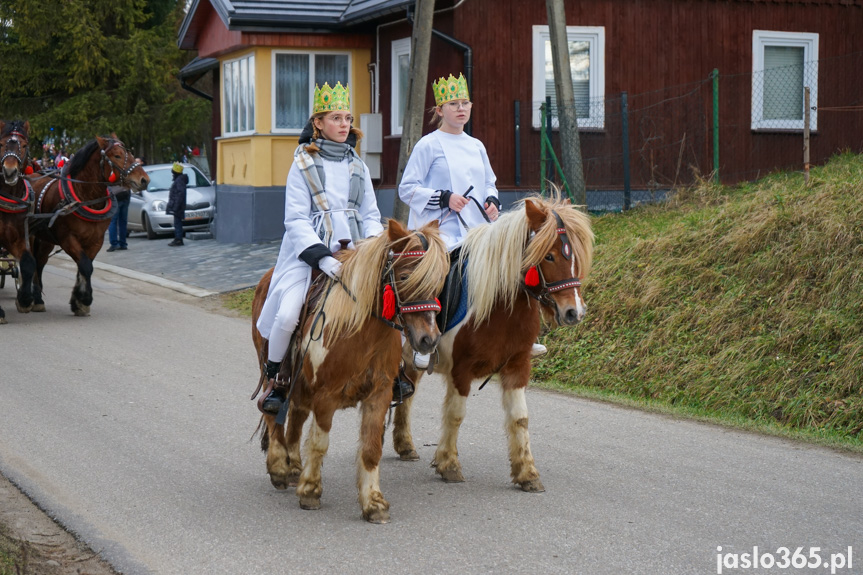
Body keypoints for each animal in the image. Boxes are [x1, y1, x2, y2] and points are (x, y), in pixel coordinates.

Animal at [26, 138, 148, 318]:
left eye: (131, 153)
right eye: (117, 156)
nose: (144, 179)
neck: (85, 197)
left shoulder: (95, 240)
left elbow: (85, 267)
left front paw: (78, 302)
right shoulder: (67, 239)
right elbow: (85, 265)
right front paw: (84, 299)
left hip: (46, 239)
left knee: (40, 262)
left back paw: (38, 299)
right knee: (32, 261)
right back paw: (32, 297)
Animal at [251, 218, 448, 524]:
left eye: (438, 279)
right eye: (405, 277)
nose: (429, 339)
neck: (359, 331)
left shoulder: (379, 394)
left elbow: (371, 449)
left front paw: (373, 503)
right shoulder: (325, 396)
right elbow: (319, 443)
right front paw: (311, 492)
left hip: (302, 386)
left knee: (295, 419)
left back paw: (294, 467)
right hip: (277, 376)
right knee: (273, 413)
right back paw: (280, 467)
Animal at [392, 196, 592, 492]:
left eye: (575, 255)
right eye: (549, 256)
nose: (574, 312)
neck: (500, 308)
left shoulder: (517, 366)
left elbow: (520, 418)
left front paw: (527, 473)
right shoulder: (460, 371)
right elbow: (455, 414)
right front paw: (449, 465)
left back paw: (404, 445)